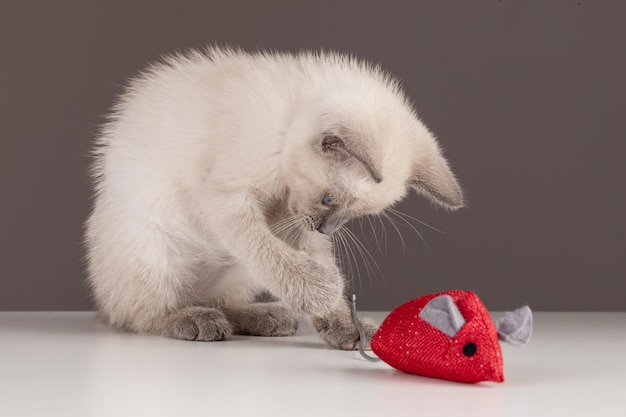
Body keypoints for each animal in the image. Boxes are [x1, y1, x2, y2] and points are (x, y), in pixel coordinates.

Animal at [85, 48, 460, 348]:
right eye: (329, 199)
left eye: (352, 217)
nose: (326, 229)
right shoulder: (228, 201)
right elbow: (268, 252)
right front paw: (320, 290)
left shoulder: (293, 222)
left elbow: (301, 259)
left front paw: (346, 327)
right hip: (152, 248)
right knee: (141, 314)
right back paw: (192, 319)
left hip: (237, 272)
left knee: (216, 300)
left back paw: (262, 317)